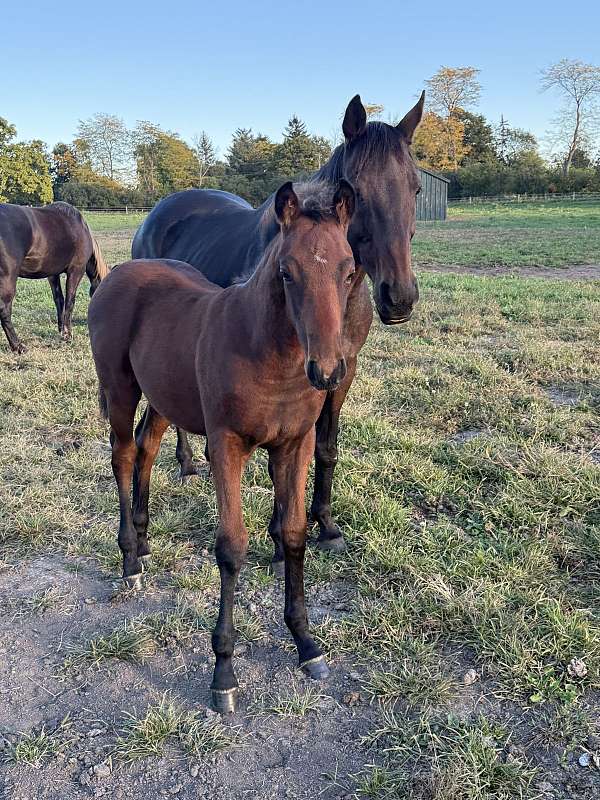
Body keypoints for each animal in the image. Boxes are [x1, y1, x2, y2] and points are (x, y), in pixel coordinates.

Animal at [0, 201, 109, 353]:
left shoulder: (53, 274)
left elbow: (59, 300)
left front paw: (61, 329)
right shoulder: (76, 270)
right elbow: (70, 301)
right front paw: (68, 335)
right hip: (8, 277)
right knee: (5, 310)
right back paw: (18, 346)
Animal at [89, 180, 362, 712]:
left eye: (347, 270)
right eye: (287, 272)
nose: (327, 371)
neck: (266, 354)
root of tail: (120, 271)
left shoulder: (294, 444)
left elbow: (294, 533)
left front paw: (306, 644)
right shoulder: (226, 446)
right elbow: (232, 546)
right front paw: (223, 672)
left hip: (164, 396)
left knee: (146, 448)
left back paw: (145, 542)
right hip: (120, 388)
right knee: (123, 455)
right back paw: (130, 559)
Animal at [131, 92, 424, 559]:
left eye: (415, 188)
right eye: (357, 190)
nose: (399, 297)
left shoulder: (341, 371)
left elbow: (324, 448)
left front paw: (325, 524)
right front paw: (277, 538)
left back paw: (190, 461)